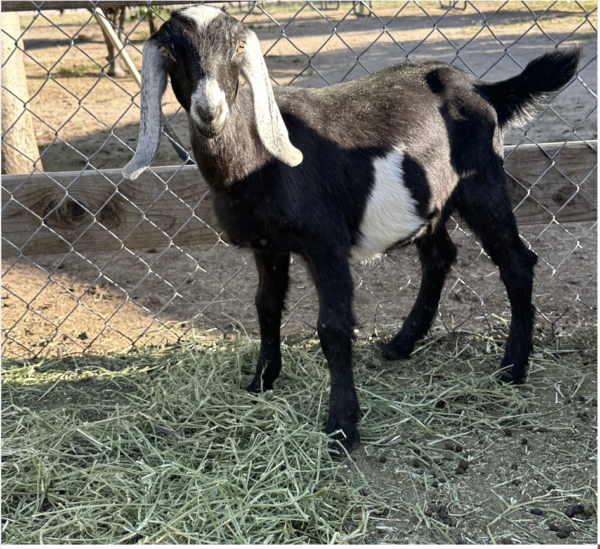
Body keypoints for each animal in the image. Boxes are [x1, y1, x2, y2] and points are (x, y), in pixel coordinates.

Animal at [122, 4, 580, 452]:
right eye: (170, 50)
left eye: (236, 47)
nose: (210, 111)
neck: (256, 156)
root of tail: (484, 90)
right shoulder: (268, 244)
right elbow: (266, 307)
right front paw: (261, 383)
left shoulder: (326, 243)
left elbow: (333, 327)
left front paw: (342, 426)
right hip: (430, 202)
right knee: (440, 257)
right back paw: (401, 344)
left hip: (482, 183)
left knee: (516, 262)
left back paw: (512, 367)